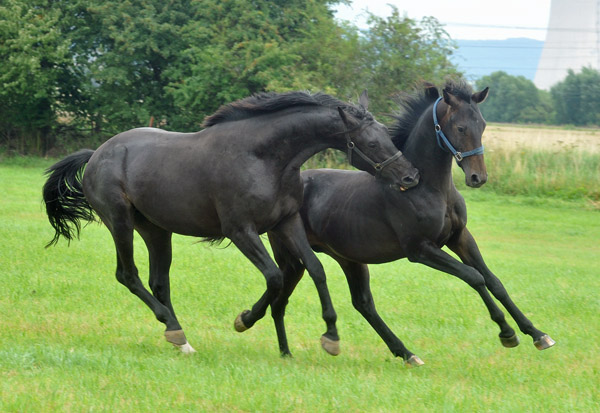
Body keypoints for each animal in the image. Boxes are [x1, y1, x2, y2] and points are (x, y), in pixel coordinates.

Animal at [42, 90, 420, 354]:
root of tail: (97, 154)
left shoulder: (285, 223)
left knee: (158, 282)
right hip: (119, 221)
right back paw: (172, 329)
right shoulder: (241, 231)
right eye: (371, 142)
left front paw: (331, 336)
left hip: (156, 229)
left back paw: (181, 340)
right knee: (128, 275)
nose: (411, 177)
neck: (263, 157)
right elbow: (275, 277)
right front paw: (245, 320)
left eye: (387, 136)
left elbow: (315, 269)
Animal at [270, 82, 556, 366]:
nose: (478, 177)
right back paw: (281, 345)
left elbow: (494, 281)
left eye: (483, 125)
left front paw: (537, 334)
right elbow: (474, 277)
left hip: (347, 259)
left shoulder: (460, 237)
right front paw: (507, 332)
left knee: (361, 303)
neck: (426, 187)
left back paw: (405, 353)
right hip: (293, 258)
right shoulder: (420, 249)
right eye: (460, 128)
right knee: (280, 299)